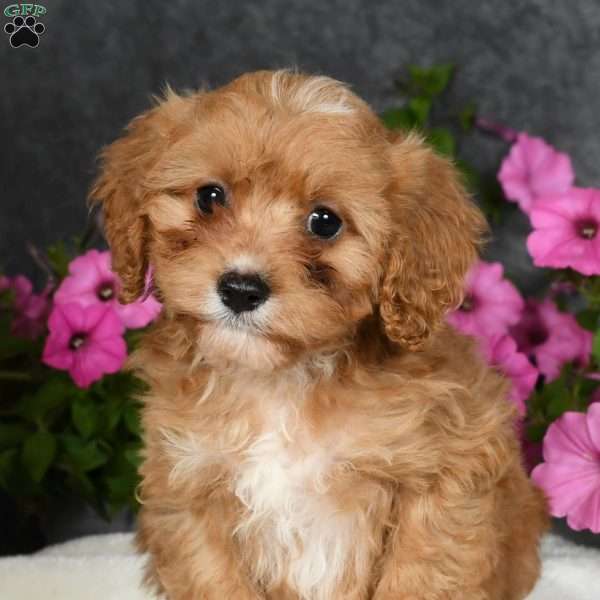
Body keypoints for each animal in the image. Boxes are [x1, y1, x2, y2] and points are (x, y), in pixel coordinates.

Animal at [90, 71, 548, 600]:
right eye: (209, 197)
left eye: (325, 222)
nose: (241, 289)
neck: (281, 382)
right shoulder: (190, 489)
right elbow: (215, 577)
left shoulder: (444, 473)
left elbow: (419, 574)